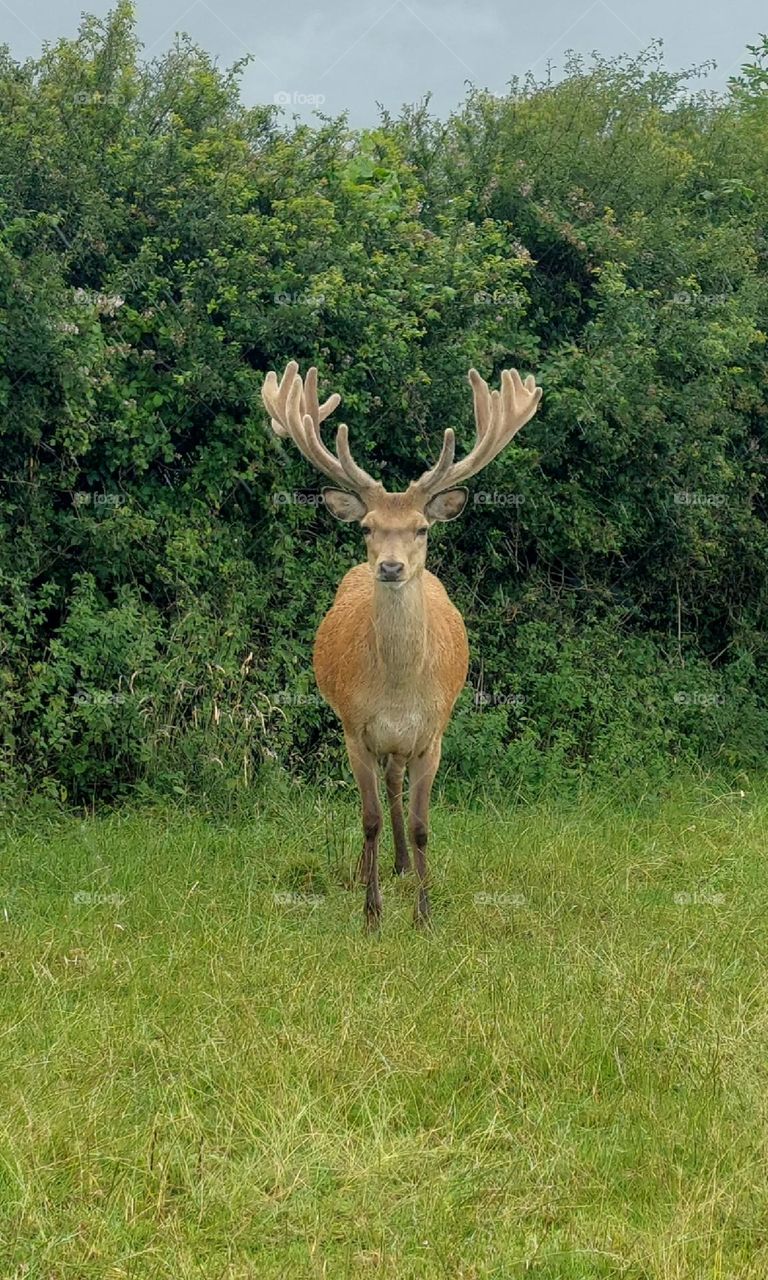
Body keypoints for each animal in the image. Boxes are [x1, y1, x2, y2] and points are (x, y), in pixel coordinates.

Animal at [261, 360, 542, 927]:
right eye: (368, 527)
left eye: (421, 528)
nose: (390, 567)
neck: (395, 692)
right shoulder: (355, 727)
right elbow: (367, 816)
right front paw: (371, 912)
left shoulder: (432, 734)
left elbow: (422, 824)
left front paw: (424, 912)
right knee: (380, 793)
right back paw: (377, 869)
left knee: (396, 786)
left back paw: (404, 866)